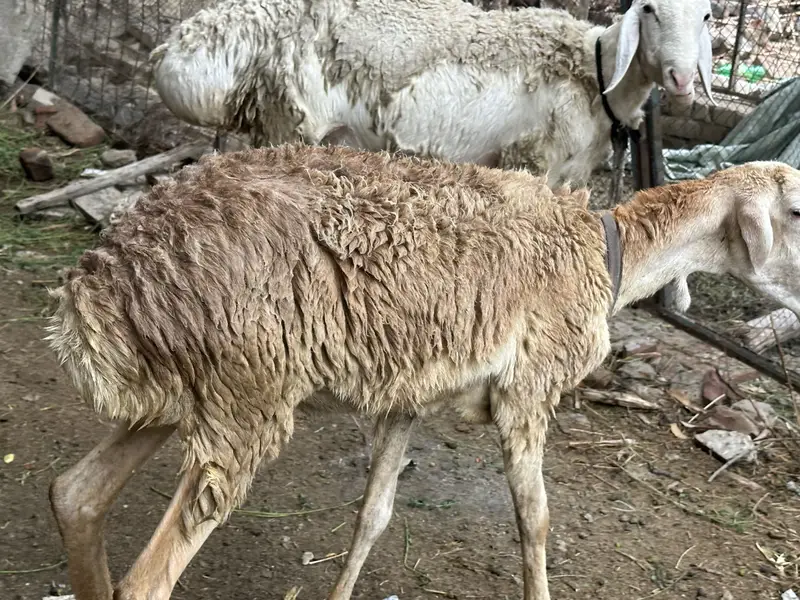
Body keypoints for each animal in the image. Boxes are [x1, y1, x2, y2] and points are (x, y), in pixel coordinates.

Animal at [46, 144, 800, 600]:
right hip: (244, 400)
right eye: (795, 210)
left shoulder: (409, 397)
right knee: (145, 580)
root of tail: (104, 280)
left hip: (185, 393)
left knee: (76, 495)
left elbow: (373, 516)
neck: (606, 250)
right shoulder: (527, 394)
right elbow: (536, 521)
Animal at [149, 0, 715, 197]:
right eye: (650, 10)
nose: (682, 79)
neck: (593, 69)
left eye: (707, 15)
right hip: (287, 122)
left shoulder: (566, 176)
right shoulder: (531, 158)